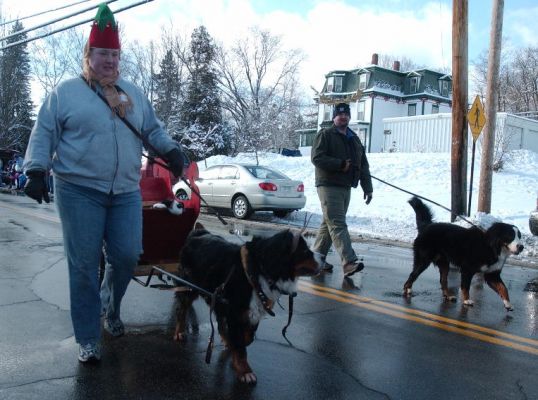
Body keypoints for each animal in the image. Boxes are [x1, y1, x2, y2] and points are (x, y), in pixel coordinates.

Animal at [175, 223, 318, 382]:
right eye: (304, 251)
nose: (324, 260)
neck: (259, 270)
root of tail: (199, 232)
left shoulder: (253, 310)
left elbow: (248, 338)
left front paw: (236, 351)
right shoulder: (235, 312)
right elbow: (240, 346)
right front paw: (245, 371)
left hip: (219, 299)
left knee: (220, 324)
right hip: (189, 288)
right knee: (182, 310)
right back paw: (179, 332)